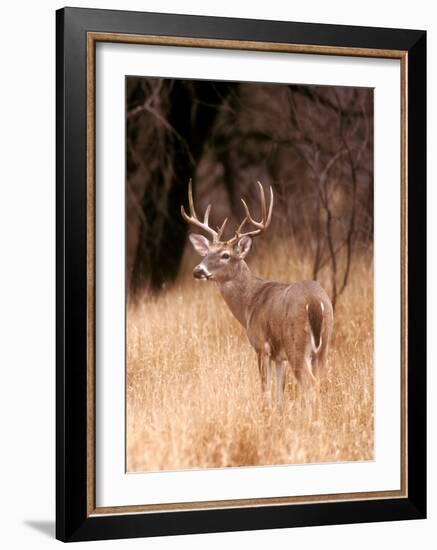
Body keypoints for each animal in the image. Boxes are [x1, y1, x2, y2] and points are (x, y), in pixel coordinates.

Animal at [179, 182, 332, 410]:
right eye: (206, 253)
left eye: (225, 255)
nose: (198, 270)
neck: (250, 304)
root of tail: (315, 302)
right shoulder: (279, 356)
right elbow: (280, 392)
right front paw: (279, 413)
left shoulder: (261, 345)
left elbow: (264, 388)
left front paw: (265, 412)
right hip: (323, 345)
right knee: (319, 382)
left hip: (296, 342)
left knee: (310, 385)